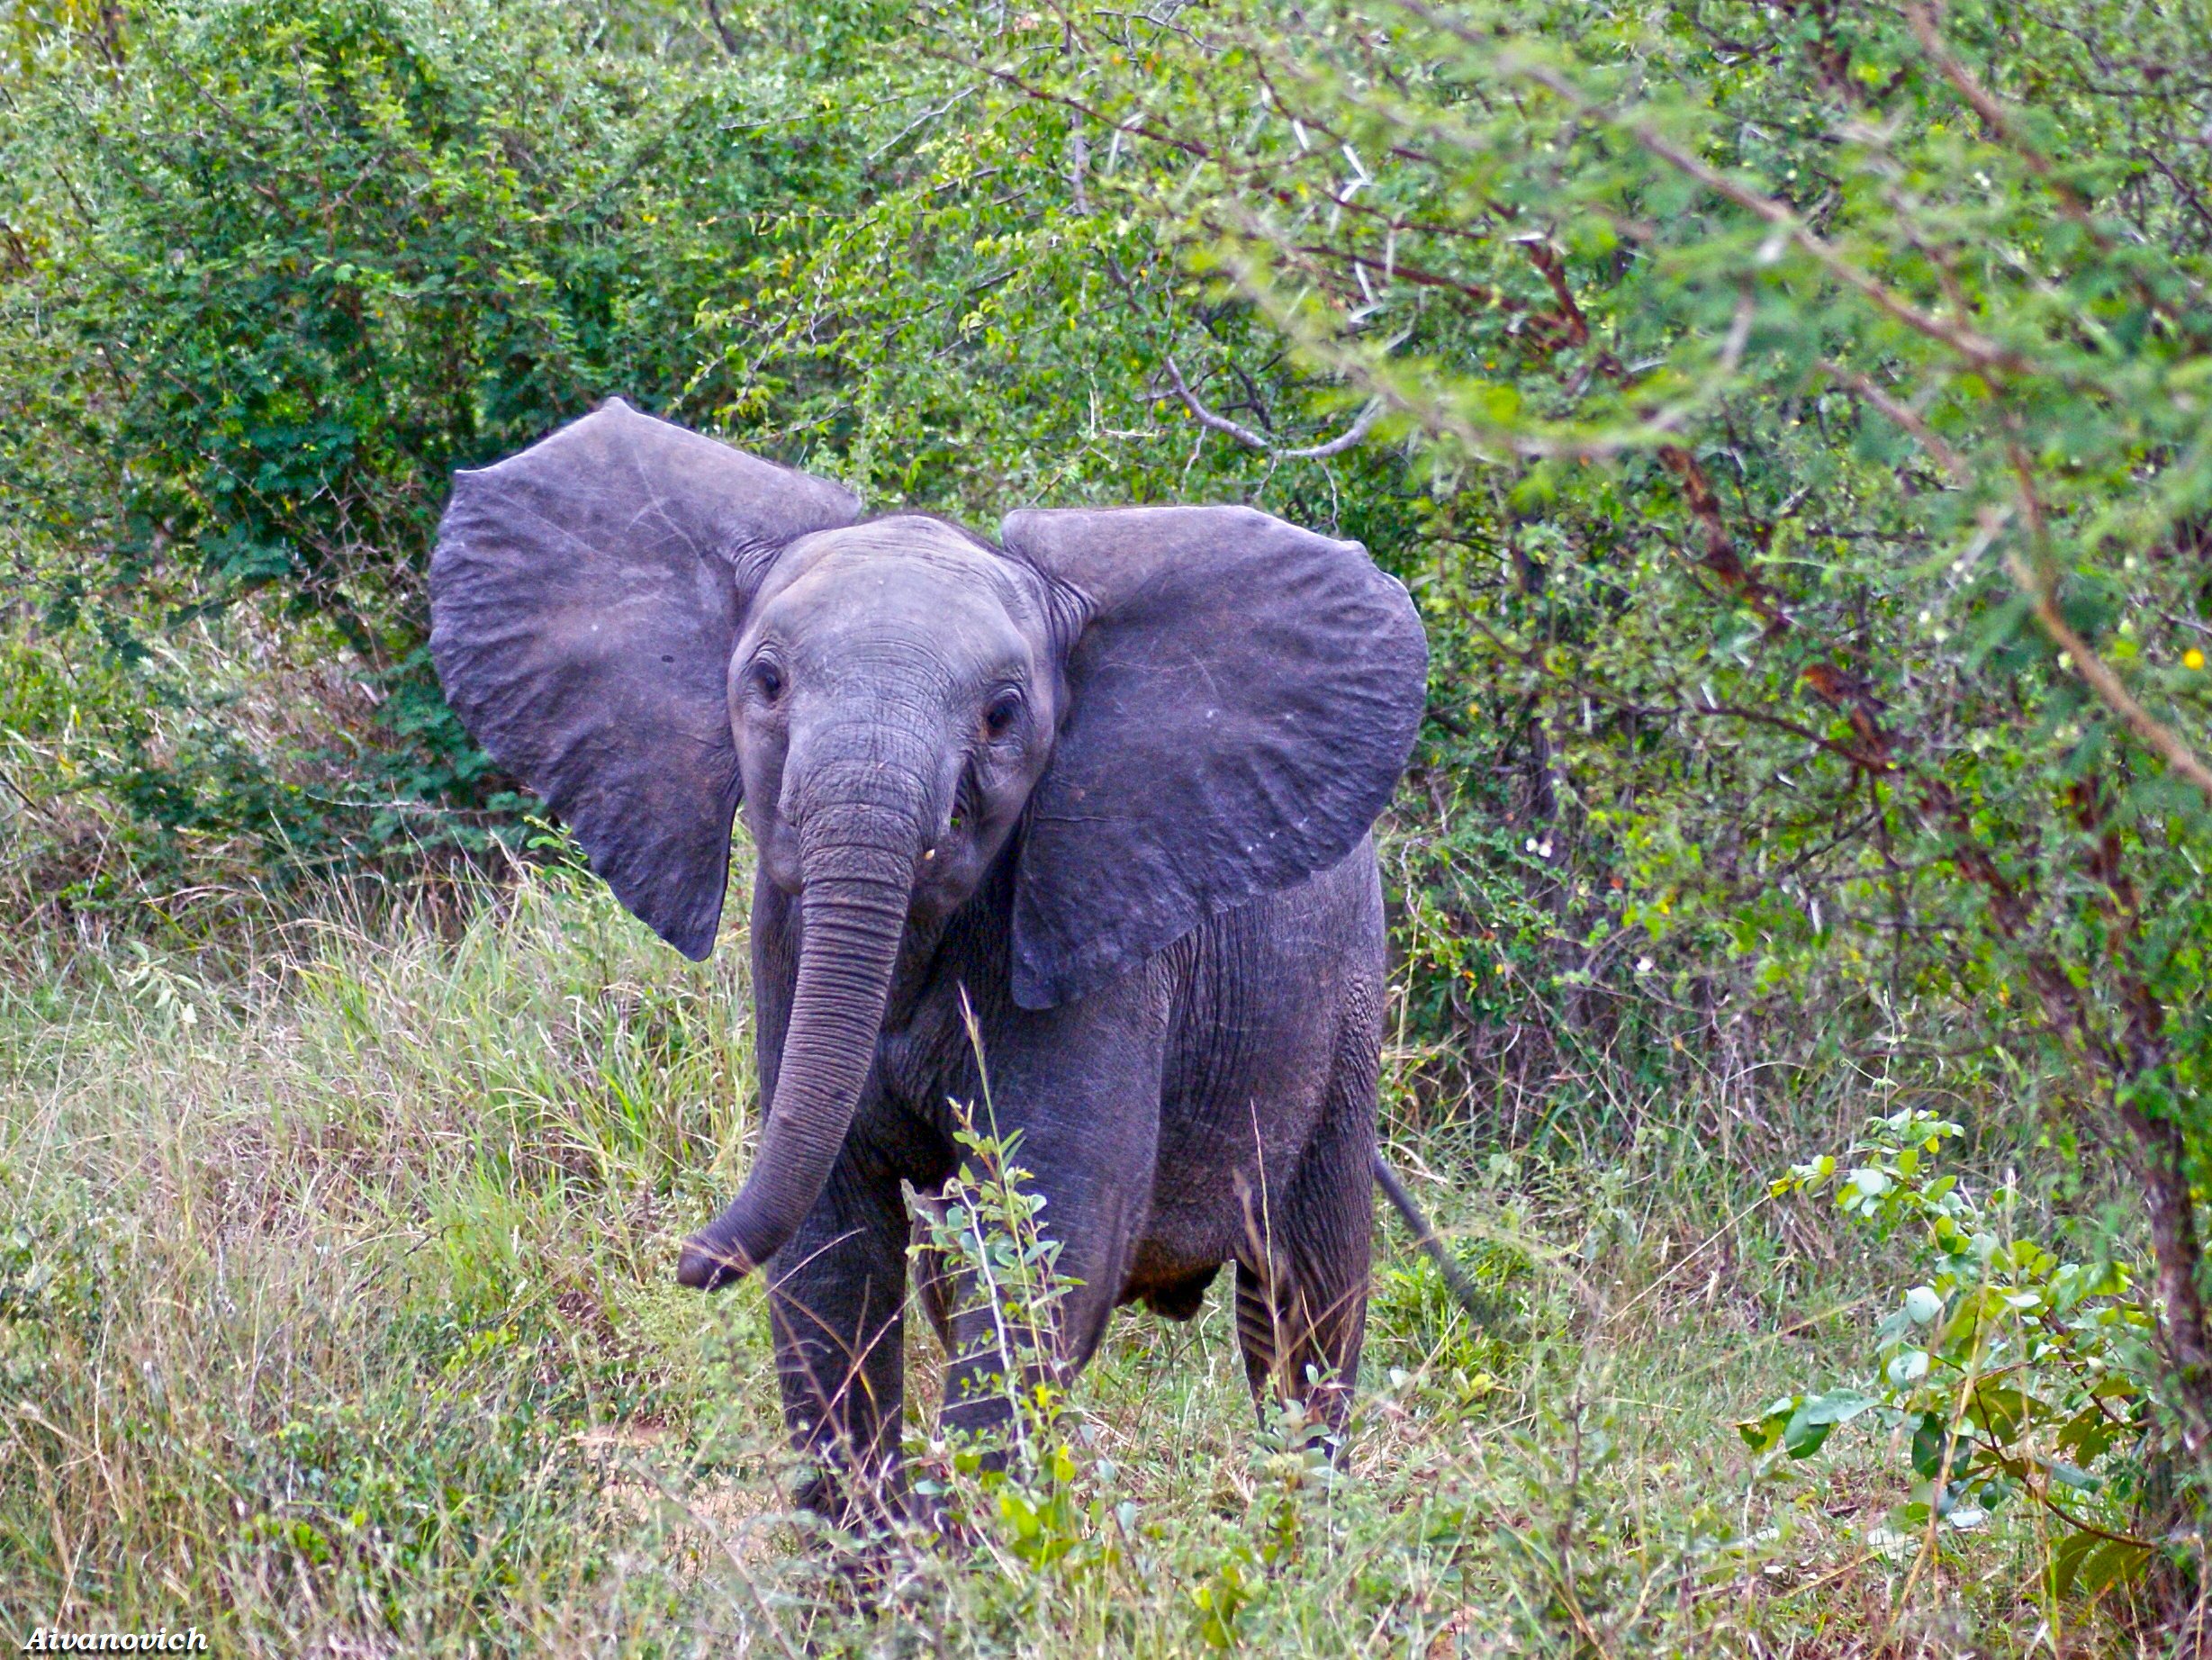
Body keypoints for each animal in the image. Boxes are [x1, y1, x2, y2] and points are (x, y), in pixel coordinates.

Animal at [424, 395, 1441, 1529]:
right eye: (766, 681)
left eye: (1003, 715)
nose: (684, 1261)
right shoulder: (786, 937)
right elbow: (831, 1247)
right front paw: (872, 1560)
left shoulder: (1090, 931)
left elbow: (1051, 1233)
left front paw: (979, 1555)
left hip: (1346, 996)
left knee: (1307, 1296)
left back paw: (1299, 1523)